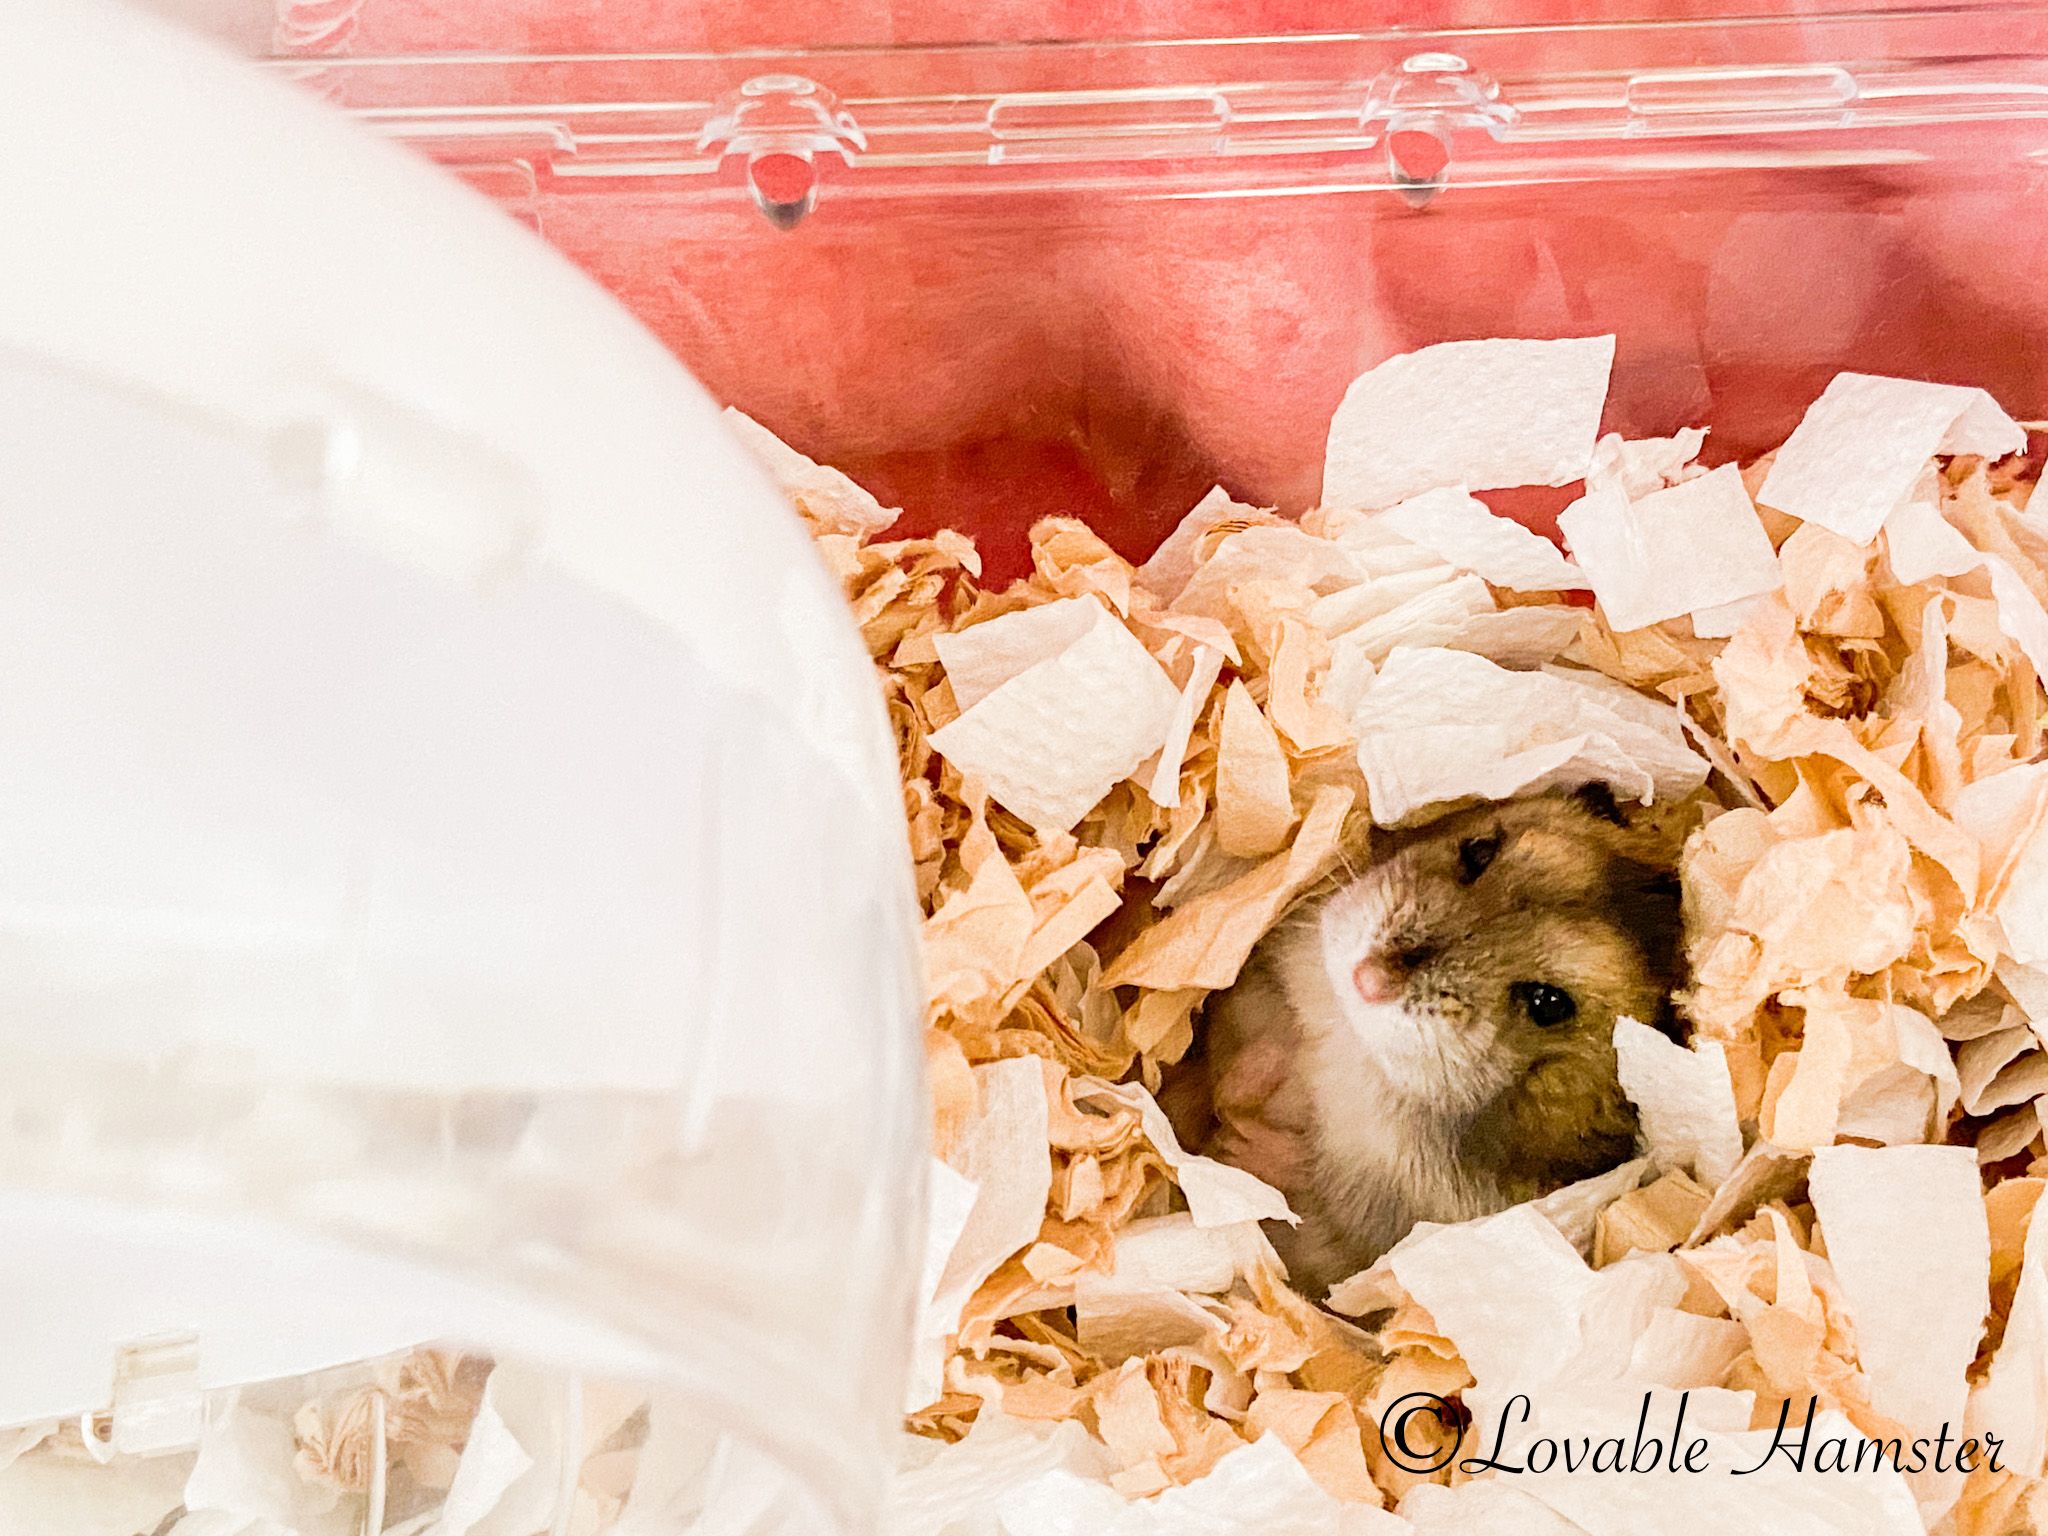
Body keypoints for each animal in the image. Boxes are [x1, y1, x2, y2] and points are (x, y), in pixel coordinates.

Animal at [1187, 783, 1688, 1294]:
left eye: (1548, 1003)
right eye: (1479, 851)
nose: (1367, 979)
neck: (1355, 1047)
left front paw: (1245, 1145)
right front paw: (1259, 1073)